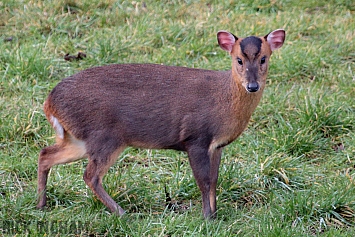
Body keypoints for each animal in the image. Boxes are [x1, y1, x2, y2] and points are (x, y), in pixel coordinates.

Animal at [36, 29, 286, 218]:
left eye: (263, 59)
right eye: (239, 60)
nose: (252, 86)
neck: (224, 99)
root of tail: (49, 103)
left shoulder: (217, 145)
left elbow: (215, 180)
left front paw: (215, 214)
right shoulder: (196, 137)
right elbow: (204, 181)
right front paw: (207, 218)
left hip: (80, 139)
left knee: (45, 154)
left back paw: (41, 204)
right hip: (105, 135)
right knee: (90, 175)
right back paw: (122, 213)